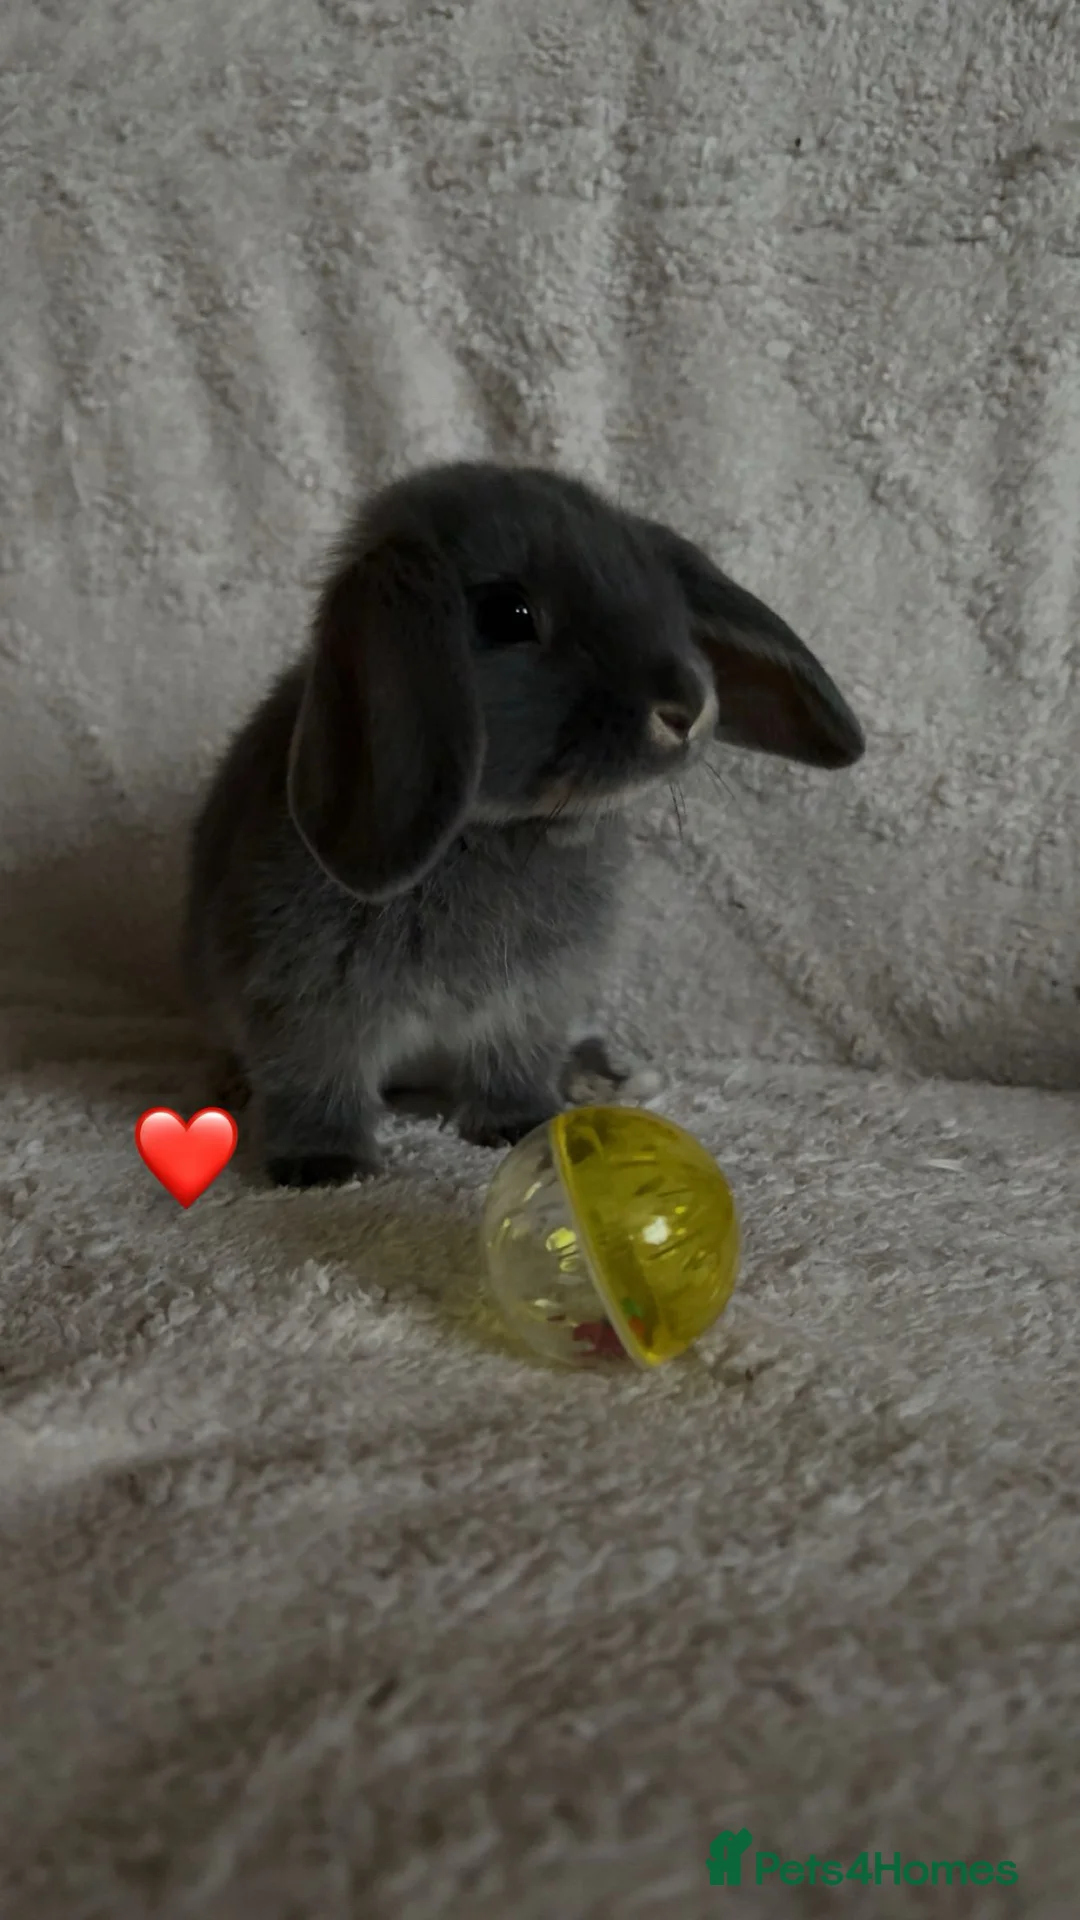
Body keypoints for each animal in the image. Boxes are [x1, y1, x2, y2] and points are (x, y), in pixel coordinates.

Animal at [183, 461, 864, 1188]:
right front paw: (326, 1166)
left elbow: (510, 1063)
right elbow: (314, 1076)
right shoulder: (305, 1000)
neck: (492, 830)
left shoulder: (528, 1002)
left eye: (671, 604)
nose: (687, 708)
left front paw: (522, 1124)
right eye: (507, 614)